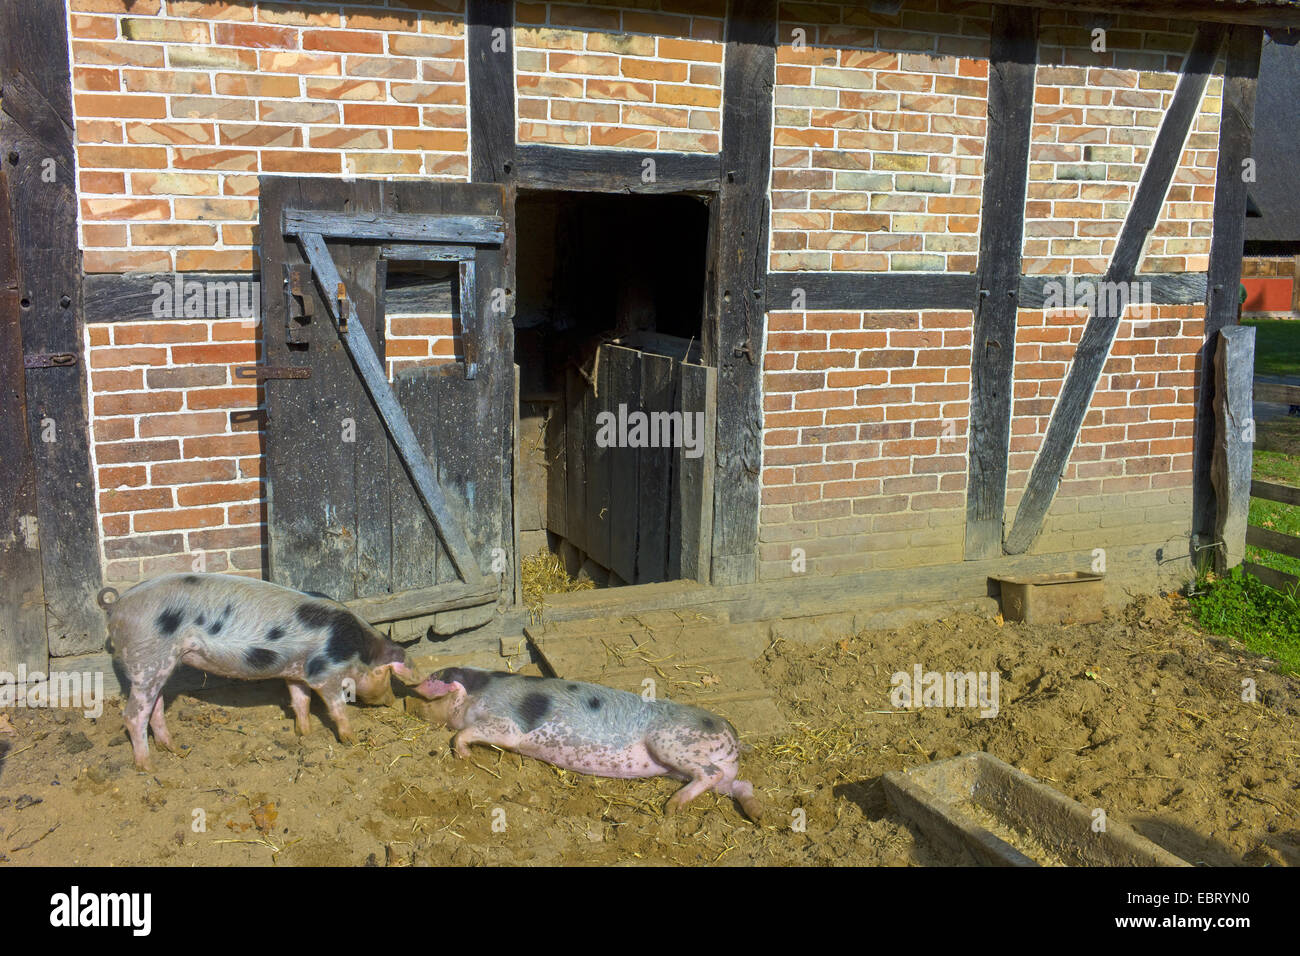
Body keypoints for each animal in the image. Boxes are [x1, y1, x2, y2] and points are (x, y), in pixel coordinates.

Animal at [109, 574, 421, 770]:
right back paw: (148, 766)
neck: (356, 650)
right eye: (386, 676)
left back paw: (174, 749)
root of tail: (118, 608)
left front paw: (305, 734)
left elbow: (300, 701)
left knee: (156, 706)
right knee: (133, 715)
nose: (392, 701)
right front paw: (351, 739)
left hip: (160, 665)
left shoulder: (296, 671)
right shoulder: (325, 673)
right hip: (148, 659)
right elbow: (336, 707)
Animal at [413, 665, 759, 822]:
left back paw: (671, 808)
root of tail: (732, 734)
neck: (478, 692)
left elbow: (466, 732)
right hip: (710, 769)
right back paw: (758, 816)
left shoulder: (506, 726)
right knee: (741, 784)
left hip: (671, 743)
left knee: (711, 773)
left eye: (432, 693)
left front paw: (463, 756)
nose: (409, 703)